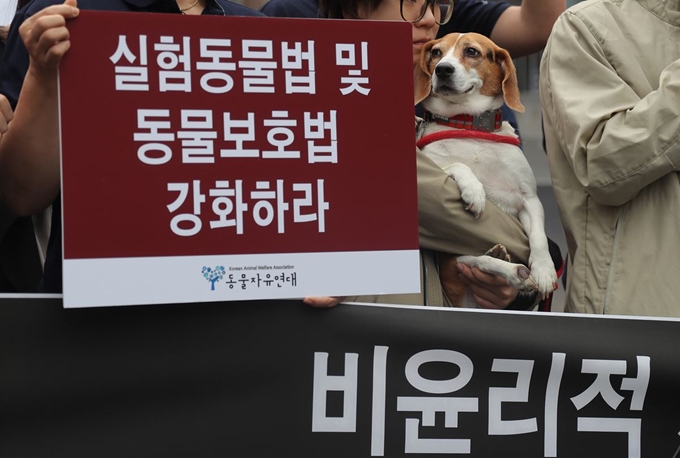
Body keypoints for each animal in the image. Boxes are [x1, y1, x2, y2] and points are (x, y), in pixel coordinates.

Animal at [414, 34, 556, 308]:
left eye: (471, 51)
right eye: (436, 52)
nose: (442, 69)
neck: (467, 125)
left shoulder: (529, 200)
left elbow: (539, 238)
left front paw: (544, 271)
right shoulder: (433, 166)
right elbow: (459, 165)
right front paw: (475, 191)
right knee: (471, 259)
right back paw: (510, 270)